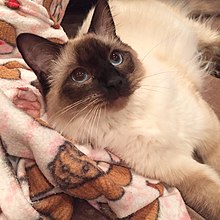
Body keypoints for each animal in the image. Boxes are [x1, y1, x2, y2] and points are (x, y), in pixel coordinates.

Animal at [16, 0, 220, 219]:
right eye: (80, 76)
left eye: (115, 58)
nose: (115, 82)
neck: (131, 114)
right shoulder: (178, 168)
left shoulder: (206, 128)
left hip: (192, 31)